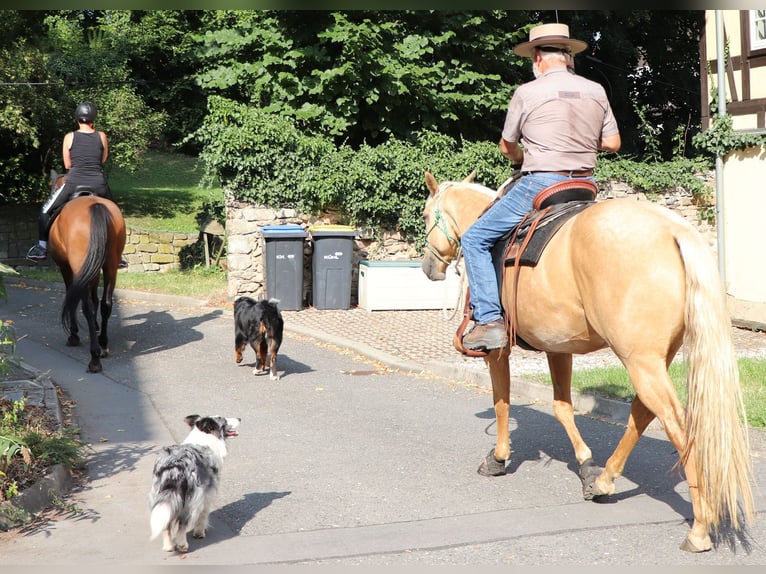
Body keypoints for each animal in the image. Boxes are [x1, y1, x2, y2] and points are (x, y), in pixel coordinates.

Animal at [47, 171, 126, 374]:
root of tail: (95, 205)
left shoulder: (66, 268)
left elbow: (72, 296)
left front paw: (74, 335)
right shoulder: (94, 270)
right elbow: (96, 299)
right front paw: (96, 331)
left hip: (79, 266)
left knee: (86, 306)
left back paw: (94, 359)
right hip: (110, 265)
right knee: (106, 303)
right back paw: (103, 345)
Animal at [149, 416, 240, 556]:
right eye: (224, 420)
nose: (240, 418)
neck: (204, 438)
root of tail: (175, 466)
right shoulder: (208, 493)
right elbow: (203, 515)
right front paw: (200, 533)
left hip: (160, 496)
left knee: (166, 524)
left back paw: (168, 546)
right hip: (191, 501)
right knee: (182, 524)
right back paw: (182, 545)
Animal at [424, 171, 760, 552]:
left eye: (425, 215)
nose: (429, 267)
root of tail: (673, 229)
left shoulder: (498, 351)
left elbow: (502, 403)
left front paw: (498, 458)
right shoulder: (558, 347)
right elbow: (562, 407)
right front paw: (586, 465)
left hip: (640, 361)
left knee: (677, 423)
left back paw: (700, 527)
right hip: (652, 359)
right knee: (643, 412)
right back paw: (603, 481)